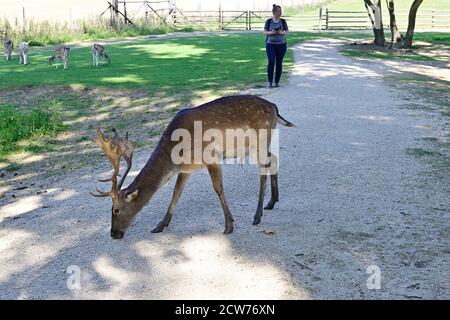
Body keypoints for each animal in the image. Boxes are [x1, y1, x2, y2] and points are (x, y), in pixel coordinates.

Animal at [91, 94, 296, 239]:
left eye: (116, 210)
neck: (175, 153)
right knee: (274, 159)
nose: (113, 234)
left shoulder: (210, 156)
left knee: (264, 167)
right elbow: (176, 193)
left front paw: (229, 225)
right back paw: (272, 202)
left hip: (260, 139)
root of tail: (274, 107)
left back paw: (257, 215)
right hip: (261, 144)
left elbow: (218, 189)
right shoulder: (186, 169)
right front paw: (160, 225)